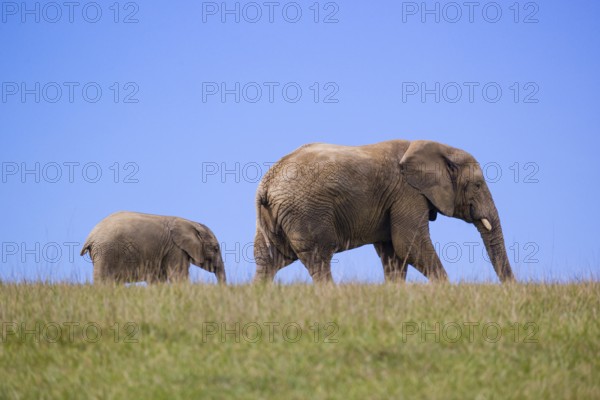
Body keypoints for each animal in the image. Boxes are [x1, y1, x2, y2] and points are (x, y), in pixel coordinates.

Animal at [81, 212, 226, 284]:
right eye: (215, 248)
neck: (191, 223)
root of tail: (91, 236)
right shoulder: (175, 249)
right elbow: (178, 275)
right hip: (106, 251)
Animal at [253, 139, 516, 282]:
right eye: (478, 185)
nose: (510, 289)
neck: (438, 148)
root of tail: (267, 184)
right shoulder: (407, 193)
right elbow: (409, 243)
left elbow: (393, 253)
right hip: (305, 211)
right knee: (318, 257)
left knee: (269, 259)